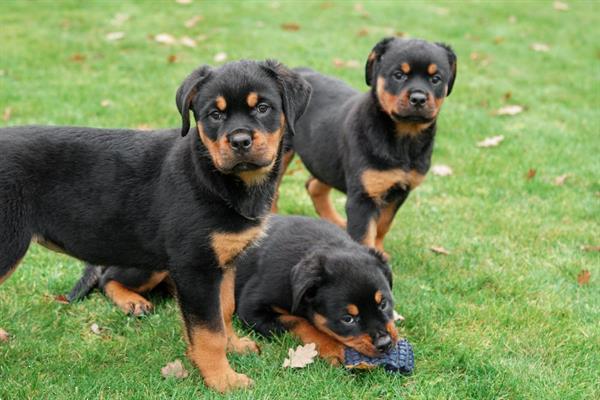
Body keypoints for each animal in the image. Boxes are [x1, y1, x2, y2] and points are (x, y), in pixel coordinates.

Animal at [1, 60, 314, 394]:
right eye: (214, 115)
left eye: (263, 108)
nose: (240, 141)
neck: (213, 175)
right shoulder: (195, 267)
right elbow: (209, 331)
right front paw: (223, 379)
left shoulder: (224, 262)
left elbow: (225, 310)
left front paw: (235, 347)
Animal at [236, 216, 398, 362]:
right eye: (347, 319)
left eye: (383, 304)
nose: (385, 344)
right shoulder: (250, 308)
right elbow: (298, 322)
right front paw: (333, 349)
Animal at [274, 37, 458, 256]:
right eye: (398, 75)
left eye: (436, 79)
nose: (419, 98)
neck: (403, 138)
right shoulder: (363, 196)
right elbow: (365, 233)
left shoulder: (399, 191)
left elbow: (383, 224)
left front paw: (379, 250)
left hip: (325, 158)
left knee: (314, 186)